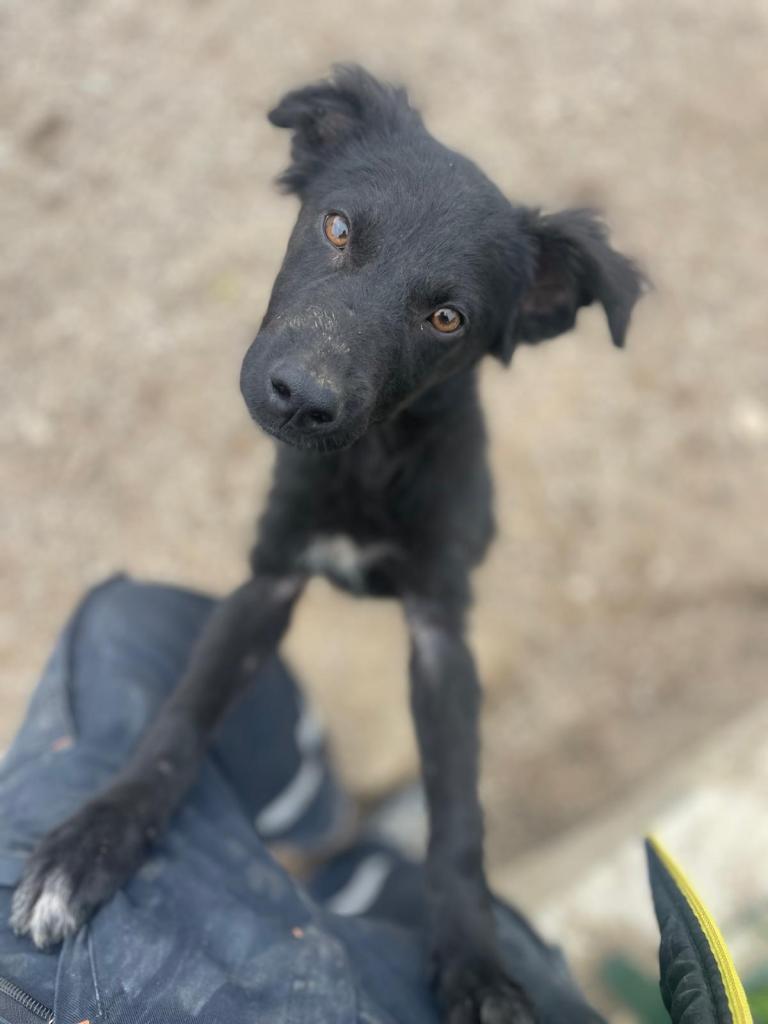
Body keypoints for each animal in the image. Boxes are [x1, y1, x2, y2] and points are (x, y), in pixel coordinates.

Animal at [12, 66, 643, 1023]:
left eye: (448, 317)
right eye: (337, 228)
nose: (300, 398)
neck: (367, 468)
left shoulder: (440, 631)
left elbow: (458, 815)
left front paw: (476, 965)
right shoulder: (267, 580)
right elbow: (177, 722)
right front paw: (92, 844)